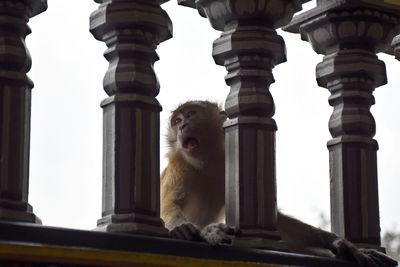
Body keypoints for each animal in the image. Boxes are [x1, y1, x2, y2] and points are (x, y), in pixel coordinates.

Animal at [159, 101, 396, 267]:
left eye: (190, 114)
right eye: (177, 121)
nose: (183, 126)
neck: (204, 164)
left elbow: (280, 222)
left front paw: (341, 243)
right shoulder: (179, 168)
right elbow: (167, 207)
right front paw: (193, 229)